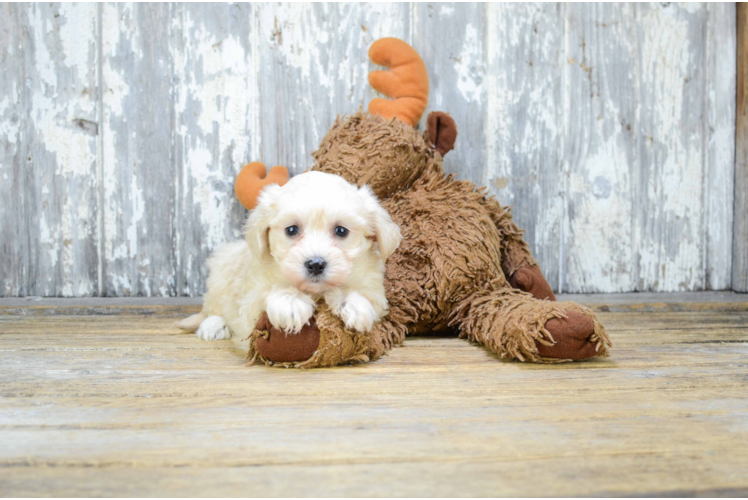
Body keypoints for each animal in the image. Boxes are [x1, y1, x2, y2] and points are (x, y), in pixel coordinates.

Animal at [178, 172, 400, 348]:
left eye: (341, 231)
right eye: (291, 230)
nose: (315, 264)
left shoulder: (375, 293)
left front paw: (352, 303)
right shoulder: (250, 303)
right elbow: (271, 292)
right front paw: (290, 301)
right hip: (220, 277)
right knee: (213, 309)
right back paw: (213, 325)